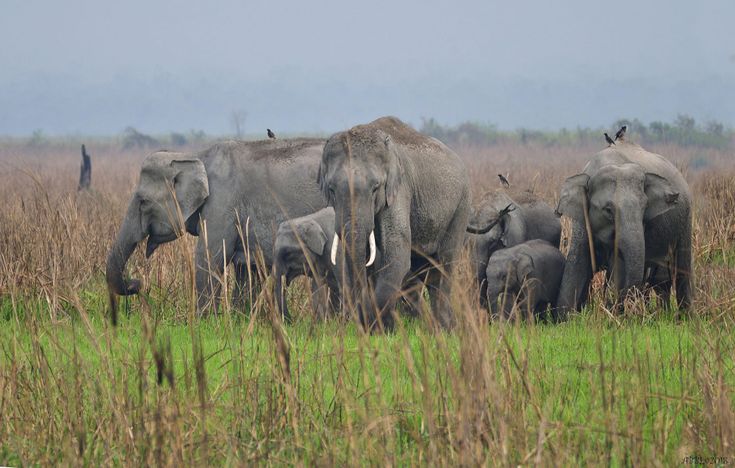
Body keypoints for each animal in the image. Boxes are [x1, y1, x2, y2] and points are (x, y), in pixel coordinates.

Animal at [106, 139, 328, 314]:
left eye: (143, 202)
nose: (137, 283)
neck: (196, 156)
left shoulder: (221, 205)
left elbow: (208, 259)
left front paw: (203, 322)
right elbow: (245, 268)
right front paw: (240, 318)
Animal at [320, 116, 474, 330]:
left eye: (376, 188)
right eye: (331, 189)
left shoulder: (399, 189)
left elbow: (397, 252)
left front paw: (377, 327)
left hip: (461, 206)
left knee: (444, 264)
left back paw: (444, 328)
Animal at [556, 137, 696, 316]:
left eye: (645, 207)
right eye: (608, 210)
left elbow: (619, 268)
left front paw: (610, 315)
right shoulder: (582, 221)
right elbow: (577, 264)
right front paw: (564, 318)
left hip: (686, 218)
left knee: (681, 270)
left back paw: (685, 317)